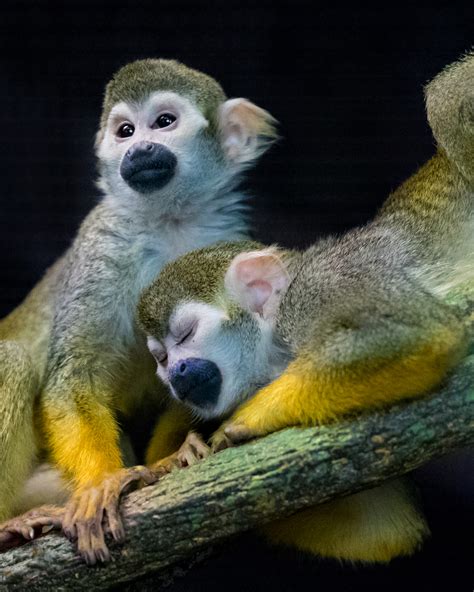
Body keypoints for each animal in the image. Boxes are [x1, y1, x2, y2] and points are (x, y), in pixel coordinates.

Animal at [0, 60, 278, 564]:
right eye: (125, 131)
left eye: (164, 122)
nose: (140, 148)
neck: (171, 221)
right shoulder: (102, 246)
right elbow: (74, 374)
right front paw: (101, 483)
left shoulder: (224, 239)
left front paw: (171, 459)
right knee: (12, 360)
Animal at [135, 52, 472, 564]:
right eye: (160, 358)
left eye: (186, 335)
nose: (175, 374)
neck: (277, 342)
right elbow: (381, 529)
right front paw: (183, 453)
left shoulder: (326, 287)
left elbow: (416, 333)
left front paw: (254, 414)